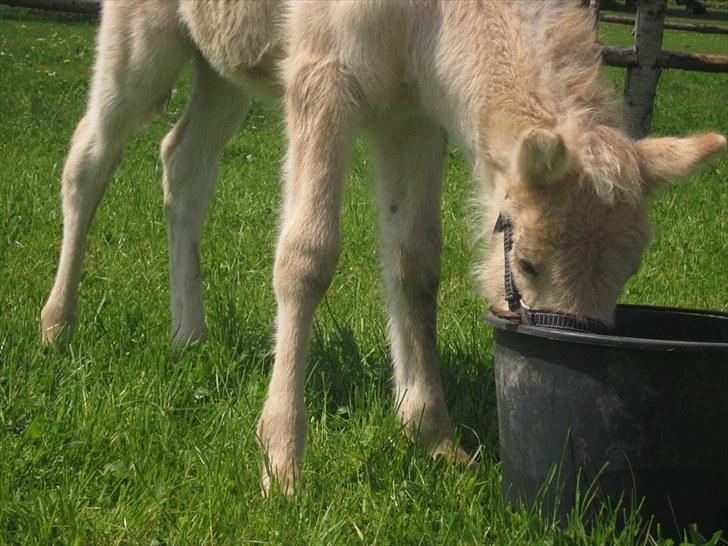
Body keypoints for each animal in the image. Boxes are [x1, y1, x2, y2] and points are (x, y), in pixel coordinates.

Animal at [39, 0, 724, 492]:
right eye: (527, 263)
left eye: (629, 272)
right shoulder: (323, 75)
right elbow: (307, 256)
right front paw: (282, 461)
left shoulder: (411, 114)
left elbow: (414, 263)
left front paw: (433, 437)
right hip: (139, 39)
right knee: (89, 160)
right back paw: (56, 326)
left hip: (223, 68)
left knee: (184, 165)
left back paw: (190, 336)